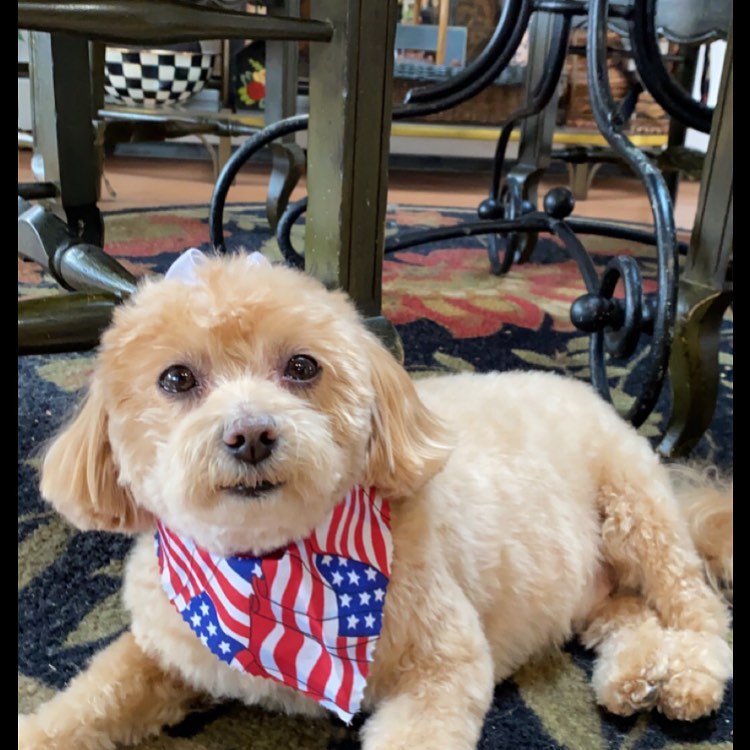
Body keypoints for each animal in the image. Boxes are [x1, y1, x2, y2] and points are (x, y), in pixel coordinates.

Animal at [19, 250, 733, 750]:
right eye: (176, 379)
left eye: (302, 367)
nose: (250, 434)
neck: (269, 566)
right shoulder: (165, 650)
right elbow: (91, 698)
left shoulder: (441, 666)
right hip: (593, 589)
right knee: (631, 615)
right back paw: (632, 674)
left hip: (636, 510)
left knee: (697, 609)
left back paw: (689, 677)